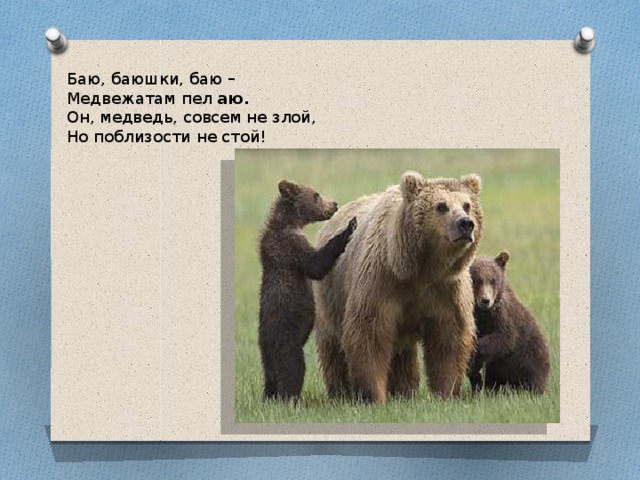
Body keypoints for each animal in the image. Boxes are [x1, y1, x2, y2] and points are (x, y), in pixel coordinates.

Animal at [258, 180, 357, 401]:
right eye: (316, 195)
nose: (334, 204)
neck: (290, 223)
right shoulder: (290, 248)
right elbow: (315, 265)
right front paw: (349, 228)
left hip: (267, 357)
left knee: (270, 380)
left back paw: (269, 397)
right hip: (286, 341)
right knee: (293, 371)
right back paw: (292, 399)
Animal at [314, 171, 483, 403]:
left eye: (467, 205)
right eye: (441, 206)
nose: (465, 224)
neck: (421, 270)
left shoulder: (446, 288)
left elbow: (448, 339)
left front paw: (445, 392)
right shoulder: (381, 282)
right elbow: (370, 334)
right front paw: (375, 395)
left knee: (403, 355)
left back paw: (404, 391)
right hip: (330, 300)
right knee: (333, 349)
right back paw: (340, 392)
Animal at [467, 251, 551, 394]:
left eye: (493, 280)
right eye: (478, 279)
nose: (485, 300)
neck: (485, 314)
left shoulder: (505, 319)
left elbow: (504, 338)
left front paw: (477, 351)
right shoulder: (476, 321)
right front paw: (473, 371)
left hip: (531, 357)